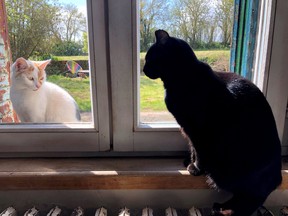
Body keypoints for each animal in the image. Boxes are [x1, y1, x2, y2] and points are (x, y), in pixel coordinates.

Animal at [143, 30, 282, 216]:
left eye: (149, 58)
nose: (143, 69)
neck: (184, 76)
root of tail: (277, 177)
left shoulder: (196, 129)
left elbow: (199, 151)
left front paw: (195, 168)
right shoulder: (187, 130)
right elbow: (193, 148)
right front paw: (191, 162)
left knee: (249, 200)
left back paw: (222, 209)